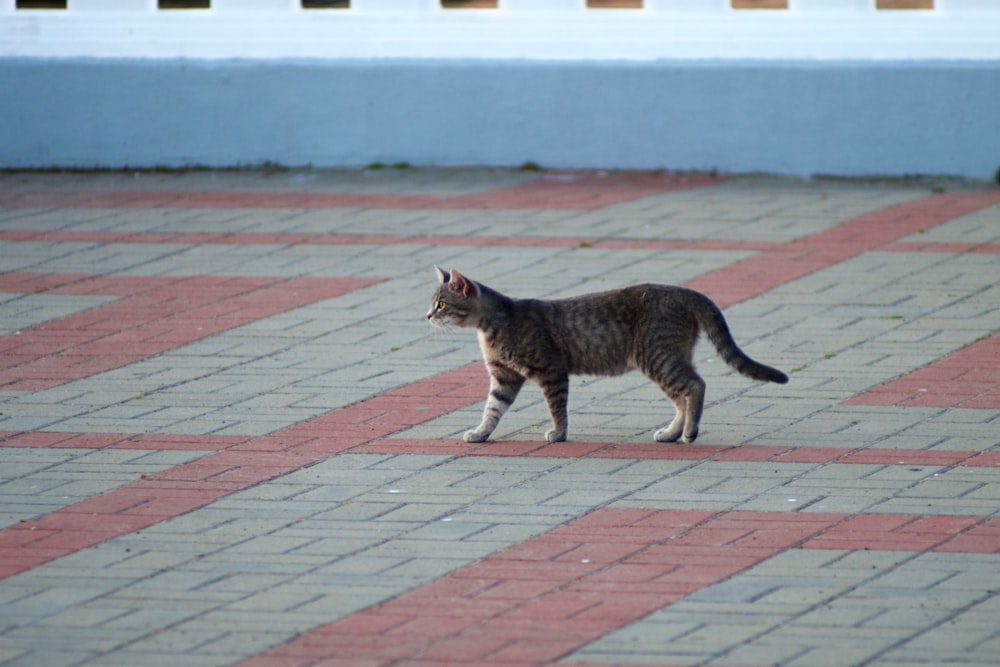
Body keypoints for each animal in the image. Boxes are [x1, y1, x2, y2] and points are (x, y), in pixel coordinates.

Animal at [426, 266, 784, 444]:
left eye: (441, 303)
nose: (427, 315)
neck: (492, 326)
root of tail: (686, 291)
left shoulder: (551, 370)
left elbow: (556, 408)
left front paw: (559, 434)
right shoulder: (504, 377)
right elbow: (492, 409)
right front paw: (481, 433)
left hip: (658, 358)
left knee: (696, 386)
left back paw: (689, 433)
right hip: (666, 358)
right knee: (683, 396)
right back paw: (672, 433)